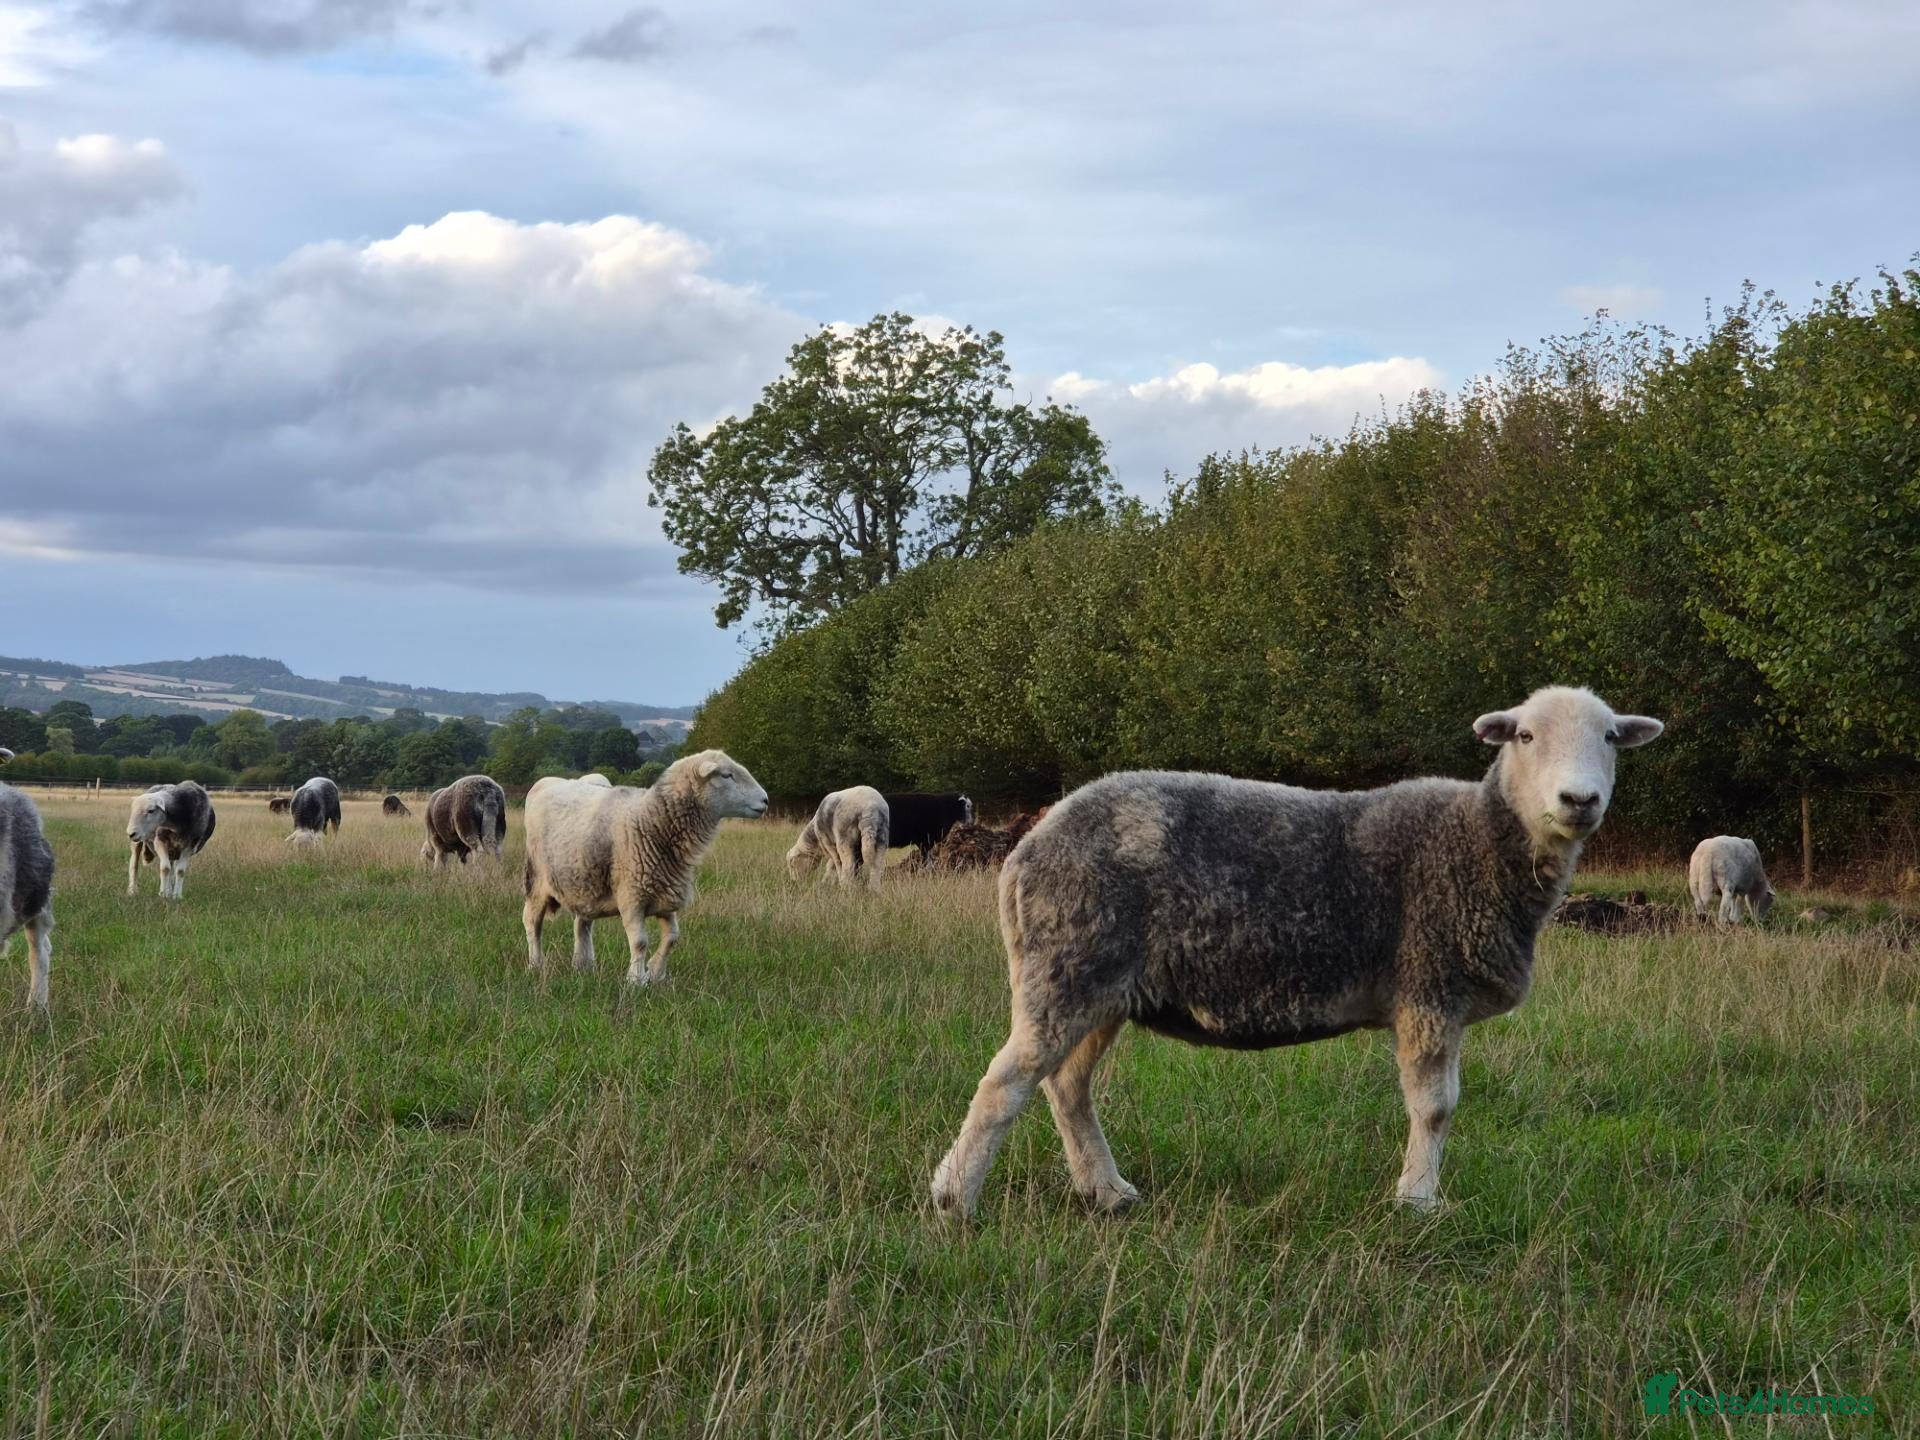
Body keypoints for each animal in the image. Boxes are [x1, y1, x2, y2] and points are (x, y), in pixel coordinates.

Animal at [522, 750, 767, 986]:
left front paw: (656, 973)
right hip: (537, 880)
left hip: (585, 880)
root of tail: (547, 782)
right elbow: (640, 941)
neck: (652, 821)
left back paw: (584, 965)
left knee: (582, 924)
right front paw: (636, 979)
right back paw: (536, 964)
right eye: (726, 775)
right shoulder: (632, 896)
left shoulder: (664, 892)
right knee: (532, 922)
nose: (765, 800)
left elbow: (672, 937)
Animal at [930, 685, 1663, 1220]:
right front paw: (1418, 1204)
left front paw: (1417, 1197)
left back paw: (1105, 1191)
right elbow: (1435, 1107)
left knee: (1067, 1087)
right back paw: (955, 1200)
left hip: (1101, 986)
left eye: (1609, 738)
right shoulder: (1429, 989)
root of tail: (1029, 845)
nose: (1579, 799)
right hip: (1065, 965)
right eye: (1525, 736)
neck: (1479, 841)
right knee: (1004, 1084)